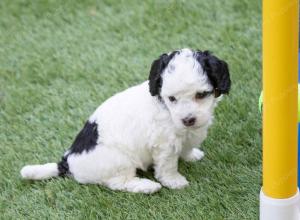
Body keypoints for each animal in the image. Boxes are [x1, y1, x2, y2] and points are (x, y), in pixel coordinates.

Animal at [20, 48, 232, 194]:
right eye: (172, 98)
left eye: (201, 95)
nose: (188, 119)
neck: (165, 108)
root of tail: (67, 162)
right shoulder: (164, 144)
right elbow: (168, 166)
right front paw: (175, 181)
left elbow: (187, 146)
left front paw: (191, 155)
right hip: (119, 161)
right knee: (118, 183)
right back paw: (147, 186)